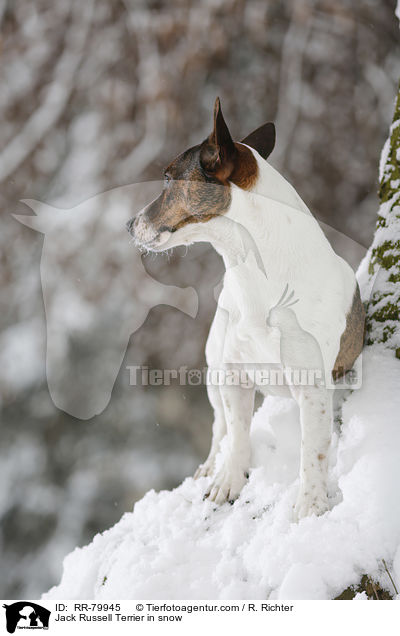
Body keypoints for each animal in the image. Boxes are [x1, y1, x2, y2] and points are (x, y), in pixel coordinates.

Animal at [126, 97, 364, 520]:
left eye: (169, 179)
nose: (129, 224)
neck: (254, 274)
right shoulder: (233, 374)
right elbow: (236, 433)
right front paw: (228, 481)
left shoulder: (313, 387)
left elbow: (314, 449)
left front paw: (311, 503)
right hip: (213, 369)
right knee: (219, 426)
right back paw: (211, 465)